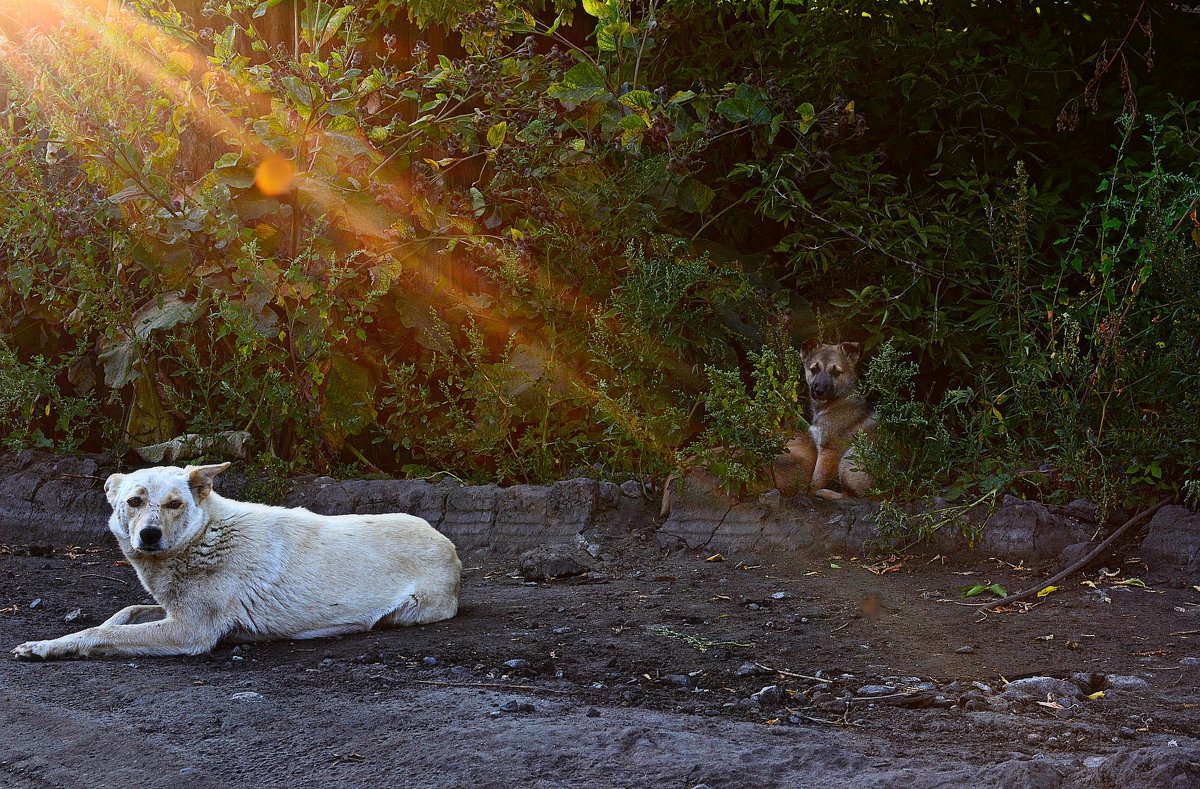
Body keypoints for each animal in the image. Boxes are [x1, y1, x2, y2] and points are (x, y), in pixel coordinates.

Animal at [11, 460, 460, 657]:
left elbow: (98, 633)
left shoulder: (189, 633)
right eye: (134, 502)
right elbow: (121, 614)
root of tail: (447, 543)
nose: (149, 535)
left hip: (405, 613)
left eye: (174, 504)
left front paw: (50, 647)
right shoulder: (171, 611)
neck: (204, 537)